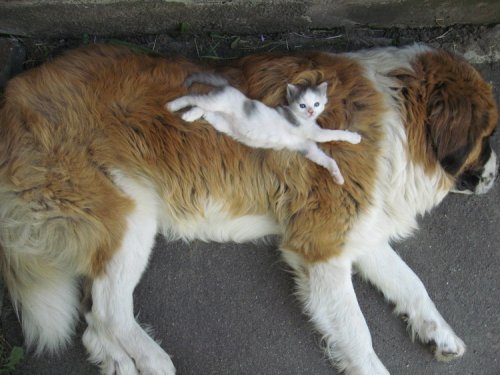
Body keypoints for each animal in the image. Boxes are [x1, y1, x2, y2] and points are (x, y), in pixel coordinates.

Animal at [0, 42, 496, 374]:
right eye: (489, 136)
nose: (496, 174)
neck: (400, 113)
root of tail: (14, 93)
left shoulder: (356, 231)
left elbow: (411, 283)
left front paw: (438, 331)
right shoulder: (321, 248)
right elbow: (359, 333)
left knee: (94, 321)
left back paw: (120, 364)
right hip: (129, 215)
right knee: (108, 314)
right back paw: (155, 362)